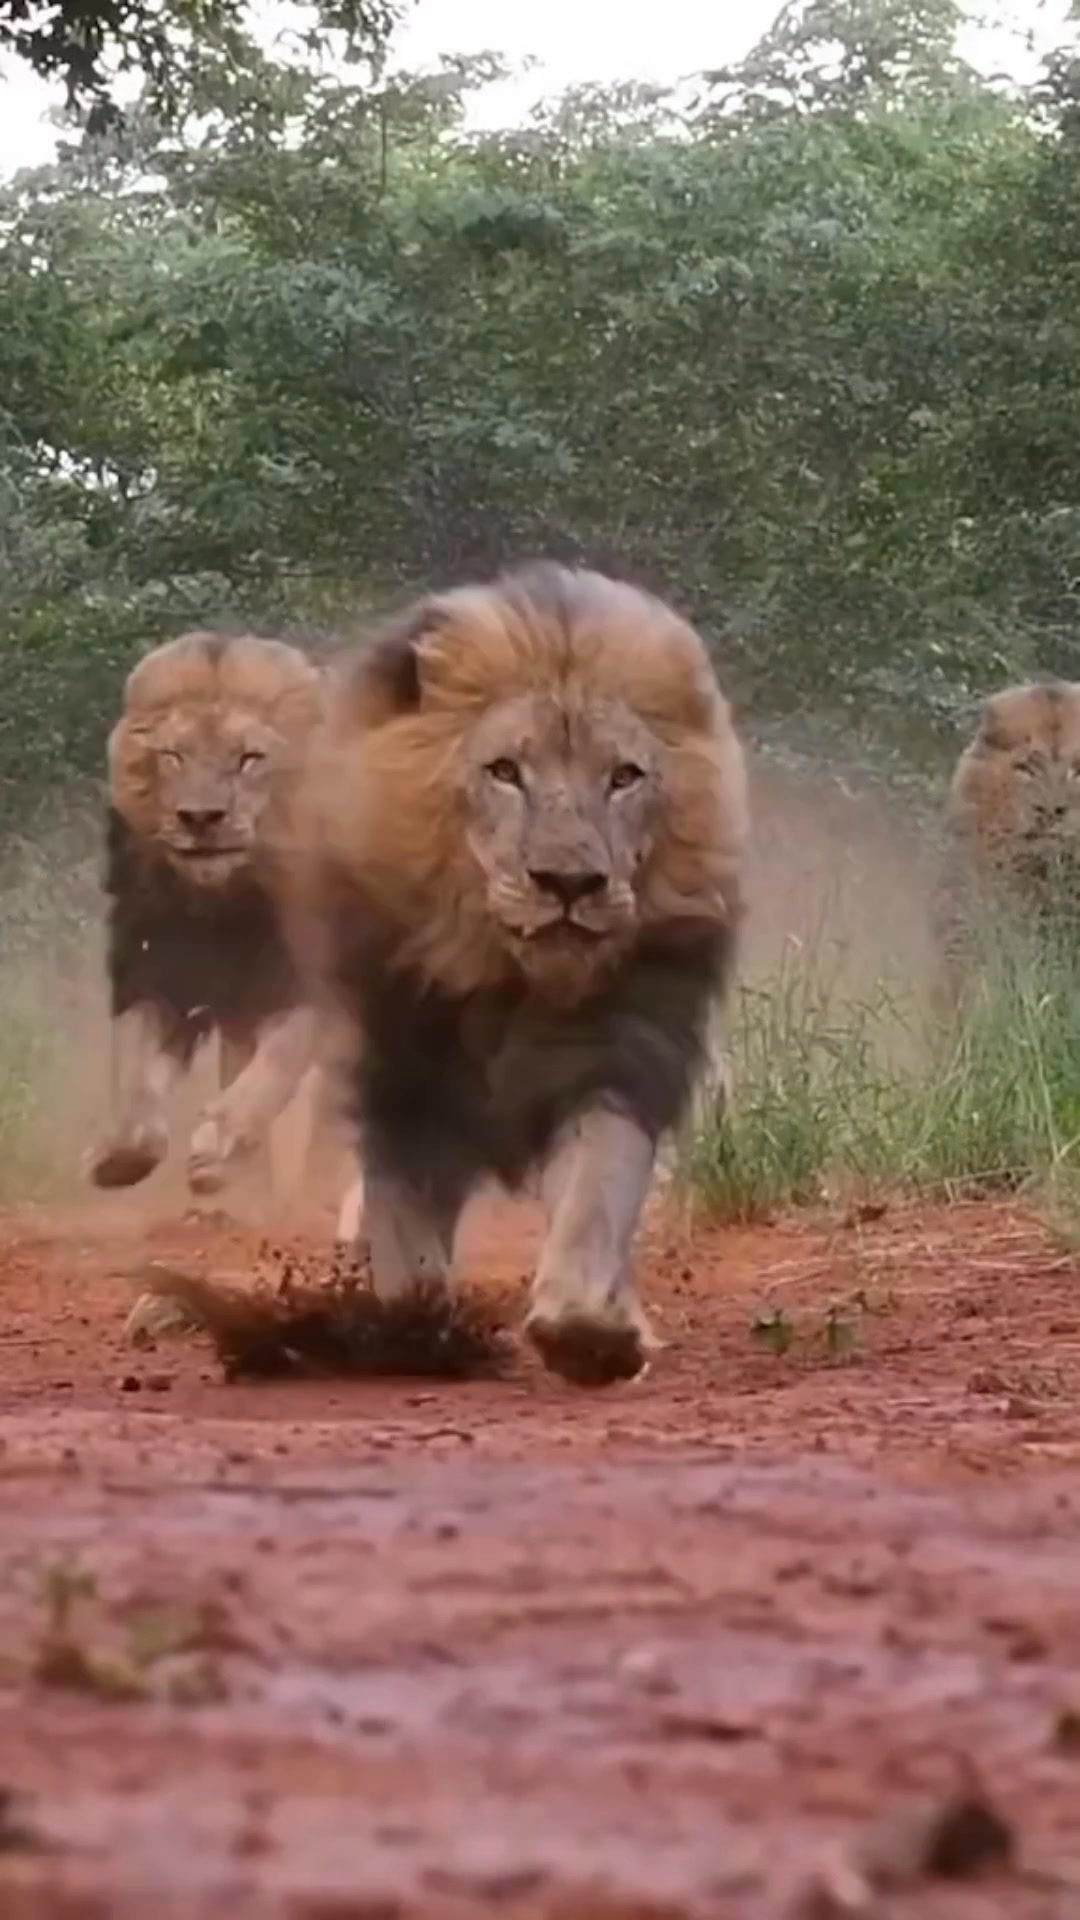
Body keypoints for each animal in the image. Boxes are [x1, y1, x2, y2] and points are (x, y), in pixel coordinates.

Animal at [87, 630, 335, 1199]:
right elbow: (140, 1075)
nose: (200, 818)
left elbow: (276, 1068)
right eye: (174, 756)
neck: (229, 904)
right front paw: (123, 1157)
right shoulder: (161, 972)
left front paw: (217, 1148)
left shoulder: (306, 985)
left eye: (249, 758)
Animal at [288, 562, 749, 1385]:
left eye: (624, 777)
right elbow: (404, 1230)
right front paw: (415, 1328)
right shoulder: (402, 1076)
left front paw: (589, 1332)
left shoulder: (617, 1058)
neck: (512, 985)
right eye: (504, 772)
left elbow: (599, 1190)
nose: (569, 883)